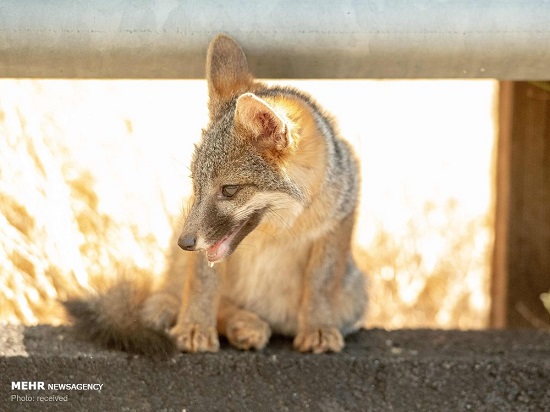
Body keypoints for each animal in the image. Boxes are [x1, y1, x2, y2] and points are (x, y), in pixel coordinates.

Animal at [63, 34, 366, 354]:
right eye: (196, 185)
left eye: (229, 190)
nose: (184, 242)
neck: (280, 231)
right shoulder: (202, 247)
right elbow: (202, 282)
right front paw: (195, 326)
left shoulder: (340, 218)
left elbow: (321, 281)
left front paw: (319, 327)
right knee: (181, 294)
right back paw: (236, 322)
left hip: (354, 297)